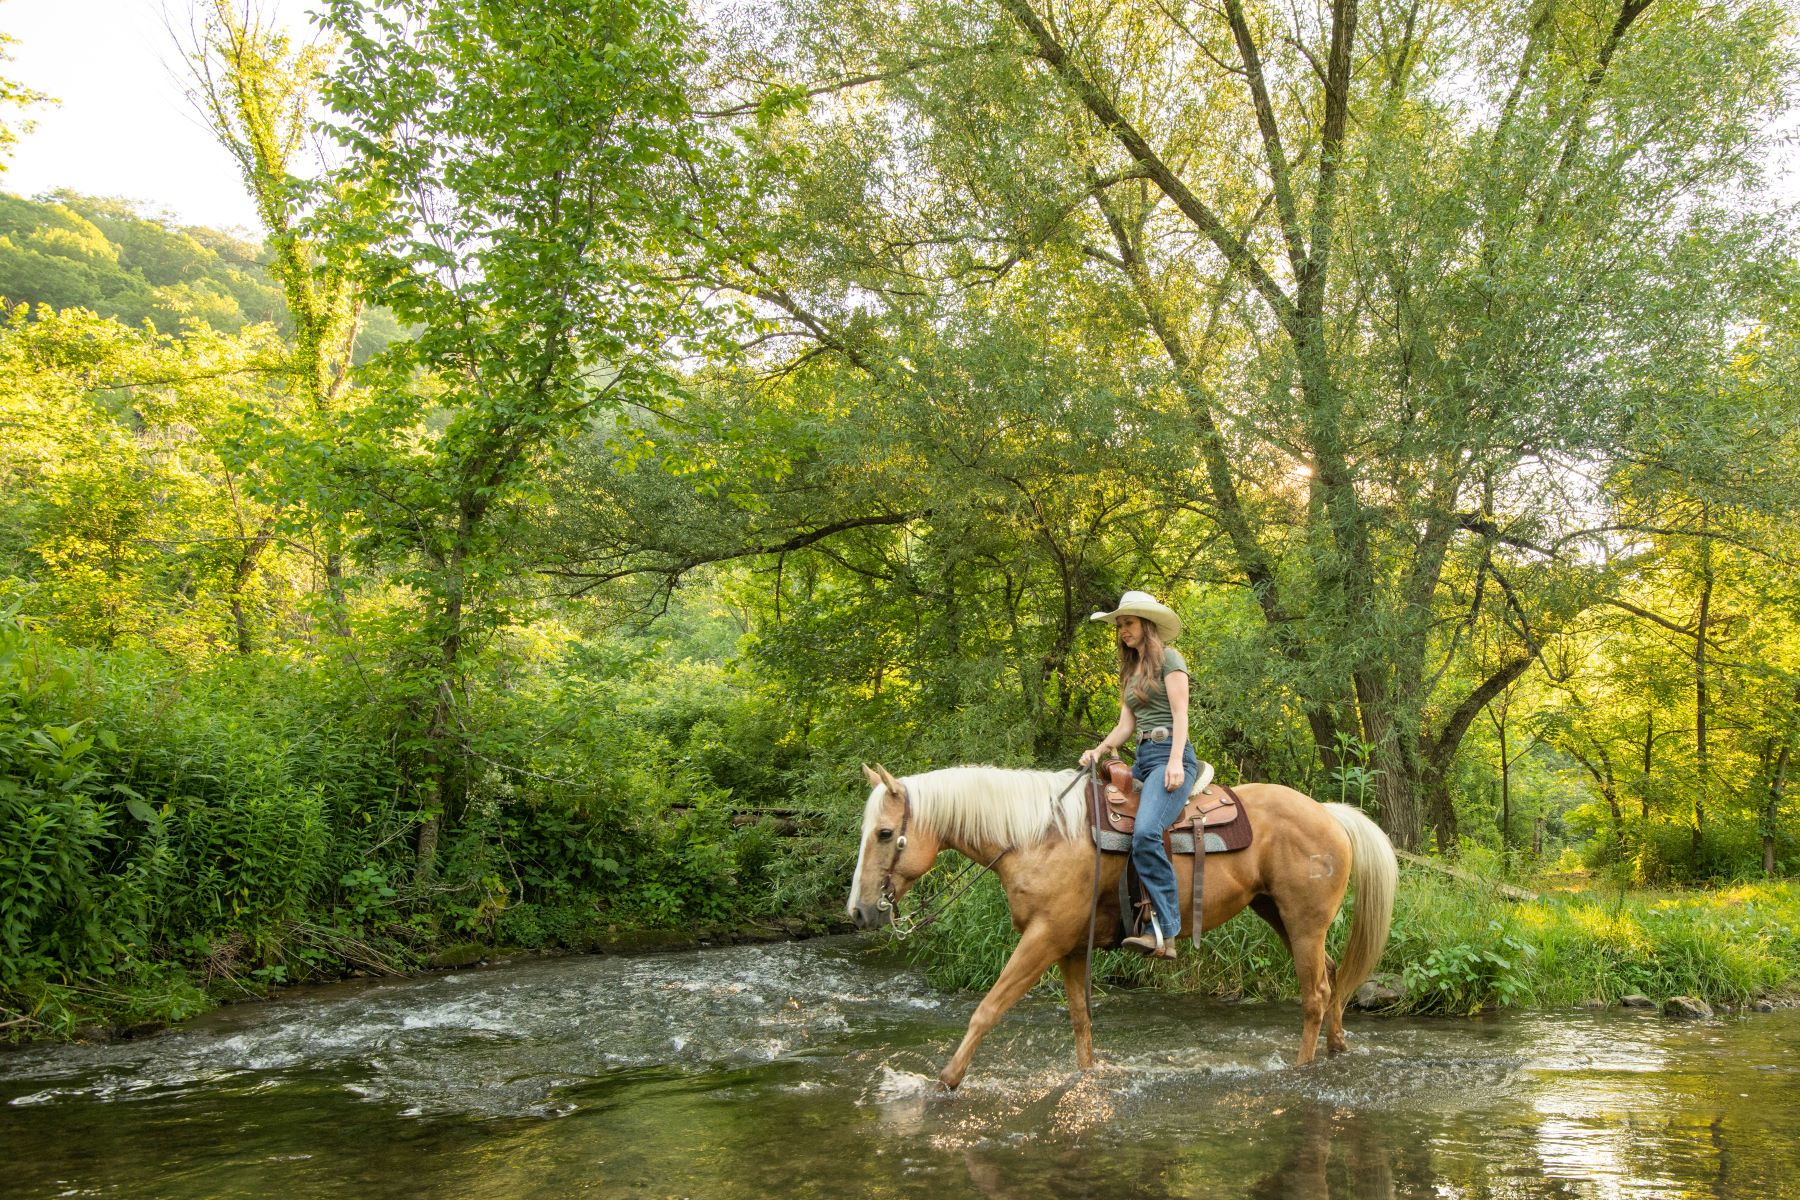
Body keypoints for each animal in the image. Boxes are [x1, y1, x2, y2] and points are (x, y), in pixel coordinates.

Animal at [849, 766, 1396, 1093]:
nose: (858, 912)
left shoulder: (1043, 938)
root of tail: (1329, 813)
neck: (1038, 837)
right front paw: (1088, 1075)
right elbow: (1080, 1021)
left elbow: (988, 1008)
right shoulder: (1070, 947)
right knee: (1332, 978)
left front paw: (946, 1080)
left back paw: (1303, 1068)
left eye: (884, 833)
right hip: (1278, 914)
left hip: (1303, 922)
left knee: (1314, 993)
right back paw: (1337, 1050)